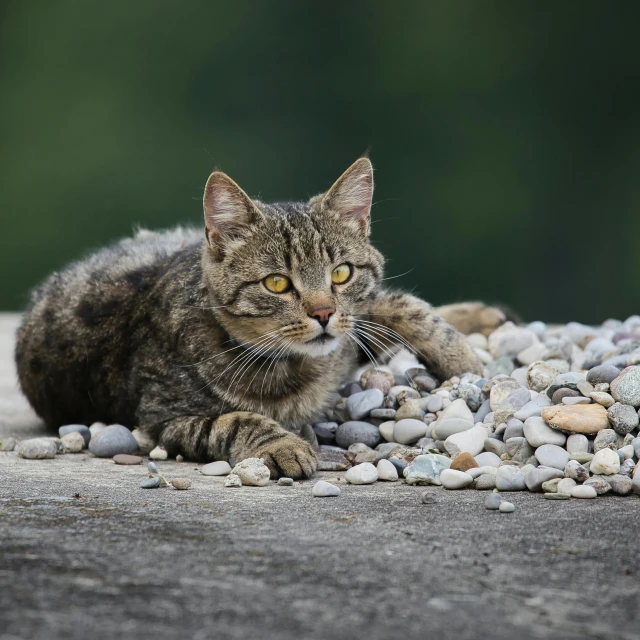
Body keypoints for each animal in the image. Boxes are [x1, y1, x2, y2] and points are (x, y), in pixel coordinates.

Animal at [16, 159, 504, 480]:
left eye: (341, 273)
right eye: (276, 284)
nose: (324, 312)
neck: (303, 367)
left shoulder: (356, 323)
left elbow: (399, 304)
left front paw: (463, 360)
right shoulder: (160, 418)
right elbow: (235, 420)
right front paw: (284, 444)